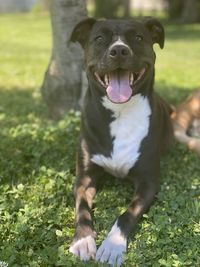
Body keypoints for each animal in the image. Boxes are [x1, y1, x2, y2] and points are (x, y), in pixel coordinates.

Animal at [69, 17, 173, 266]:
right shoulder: (84, 178)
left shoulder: (148, 182)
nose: (118, 50)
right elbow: (82, 209)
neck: (120, 112)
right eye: (99, 38)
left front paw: (112, 245)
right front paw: (83, 240)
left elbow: (128, 213)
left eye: (138, 37)